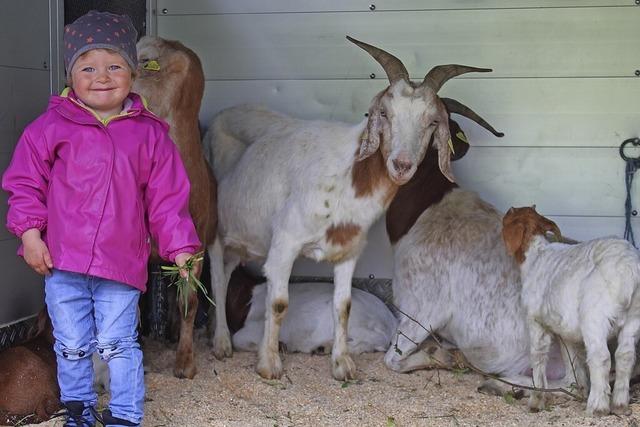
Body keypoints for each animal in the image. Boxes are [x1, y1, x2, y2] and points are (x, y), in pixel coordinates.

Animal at [202, 34, 492, 382]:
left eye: (433, 121)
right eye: (384, 113)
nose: (402, 165)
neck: (346, 175)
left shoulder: (348, 251)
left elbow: (343, 305)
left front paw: (342, 366)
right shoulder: (285, 242)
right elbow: (279, 302)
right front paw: (269, 365)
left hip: (243, 239)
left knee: (229, 269)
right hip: (216, 225)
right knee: (217, 276)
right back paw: (220, 344)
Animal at [502, 206, 640, 416]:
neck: (535, 255)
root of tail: (628, 269)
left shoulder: (535, 321)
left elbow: (538, 357)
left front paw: (536, 401)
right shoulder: (565, 330)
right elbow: (572, 358)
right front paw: (578, 388)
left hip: (594, 315)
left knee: (601, 357)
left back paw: (597, 407)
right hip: (634, 317)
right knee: (625, 355)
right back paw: (620, 405)